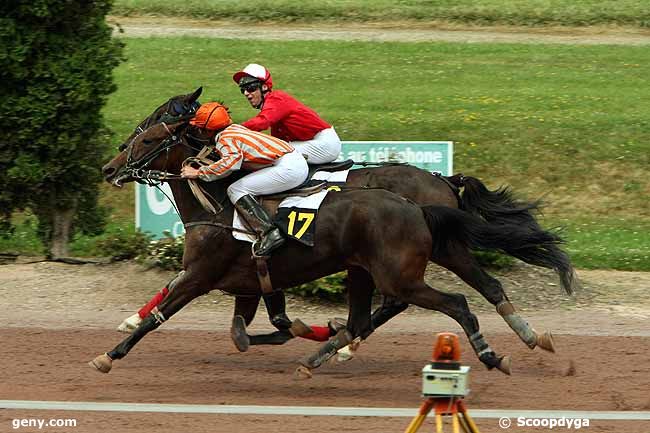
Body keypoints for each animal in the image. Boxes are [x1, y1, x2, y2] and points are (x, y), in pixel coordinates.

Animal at [91, 118, 572, 374]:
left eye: (149, 137)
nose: (110, 167)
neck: (219, 207)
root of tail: (432, 188)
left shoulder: (201, 276)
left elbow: (161, 314)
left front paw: (108, 355)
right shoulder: (250, 282)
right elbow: (255, 328)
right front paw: (309, 331)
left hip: (402, 270)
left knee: (447, 301)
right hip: (402, 261)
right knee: (478, 288)